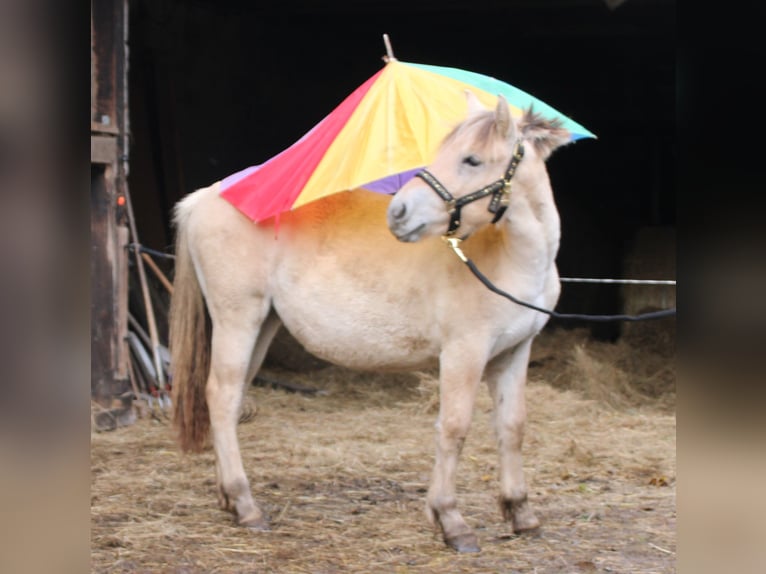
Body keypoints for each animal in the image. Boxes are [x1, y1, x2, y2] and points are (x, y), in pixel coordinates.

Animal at [171, 93, 572, 552]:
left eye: (471, 159)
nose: (398, 212)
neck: (511, 258)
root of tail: (205, 197)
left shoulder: (514, 353)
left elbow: (512, 427)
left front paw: (521, 513)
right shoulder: (464, 353)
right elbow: (453, 428)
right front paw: (451, 521)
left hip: (262, 325)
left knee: (232, 398)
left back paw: (230, 500)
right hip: (238, 318)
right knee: (220, 396)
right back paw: (246, 505)